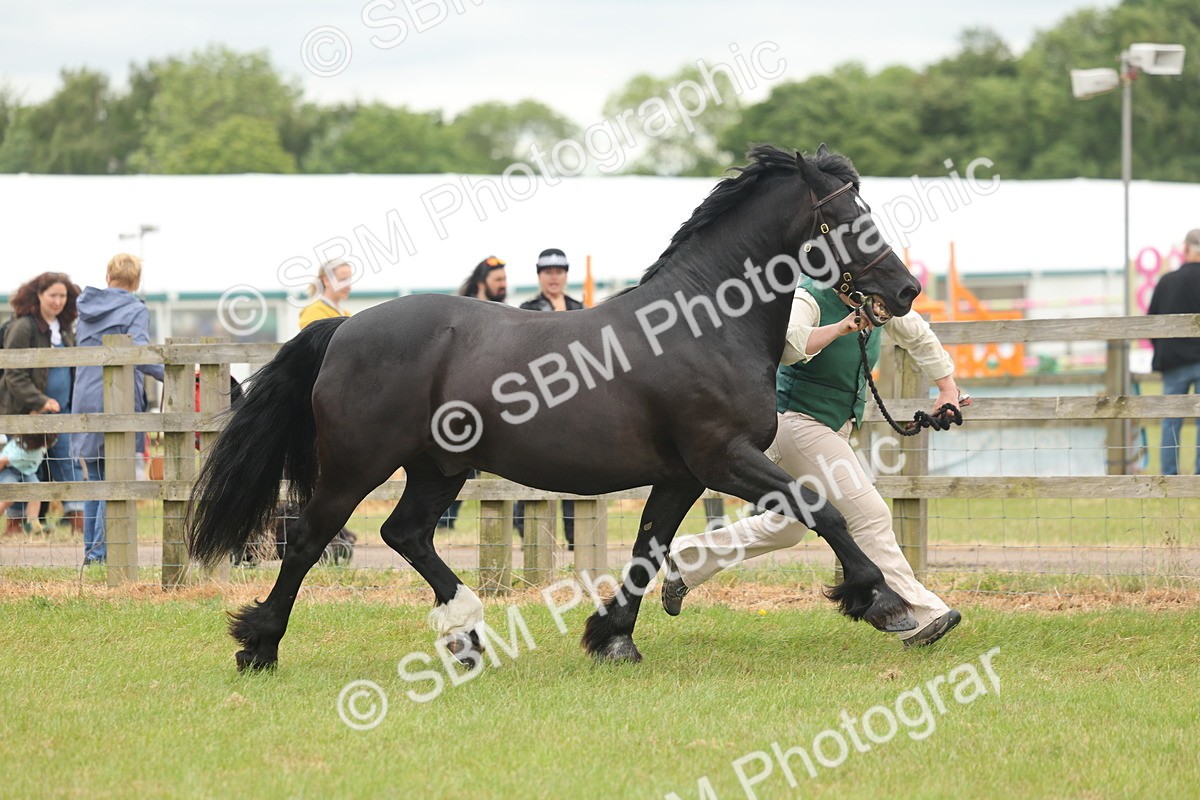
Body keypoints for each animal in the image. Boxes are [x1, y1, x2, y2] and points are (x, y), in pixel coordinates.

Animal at [187, 144, 923, 671]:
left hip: (438, 467)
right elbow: (823, 509)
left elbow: (648, 548)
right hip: (356, 465)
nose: (906, 290)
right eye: (848, 220)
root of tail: (344, 328)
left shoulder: (682, 475)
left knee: (407, 534)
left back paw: (467, 636)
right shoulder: (724, 458)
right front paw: (883, 602)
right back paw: (260, 645)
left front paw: (612, 638)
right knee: (310, 539)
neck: (702, 326)